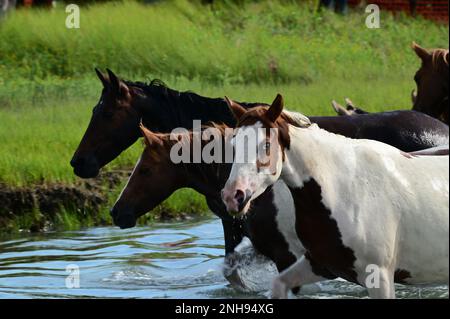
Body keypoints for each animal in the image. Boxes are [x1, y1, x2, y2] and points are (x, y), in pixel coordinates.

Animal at [223, 95, 448, 300]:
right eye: (232, 146)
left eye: (267, 145)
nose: (233, 196)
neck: (344, 189)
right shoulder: (321, 264)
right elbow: (279, 284)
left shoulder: (380, 276)